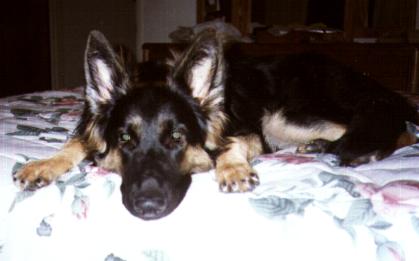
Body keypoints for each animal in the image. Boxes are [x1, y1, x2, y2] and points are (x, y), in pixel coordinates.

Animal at [14, 29, 418, 218]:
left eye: (178, 138)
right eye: (124, 139)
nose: (148, 207)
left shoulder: (249, 128)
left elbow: (232, 142)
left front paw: (232, 167)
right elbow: (77, 141)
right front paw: (45, 163)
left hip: (283, 116)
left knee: (396, 126)